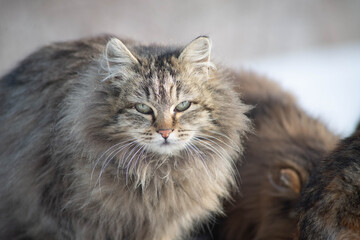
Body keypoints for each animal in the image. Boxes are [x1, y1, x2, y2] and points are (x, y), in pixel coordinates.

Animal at [0, 35, 250, 240]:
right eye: (143, 108)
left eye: (182, 106)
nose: (165, 132)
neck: (156, 174)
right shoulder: (71, 221)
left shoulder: (160, 226)